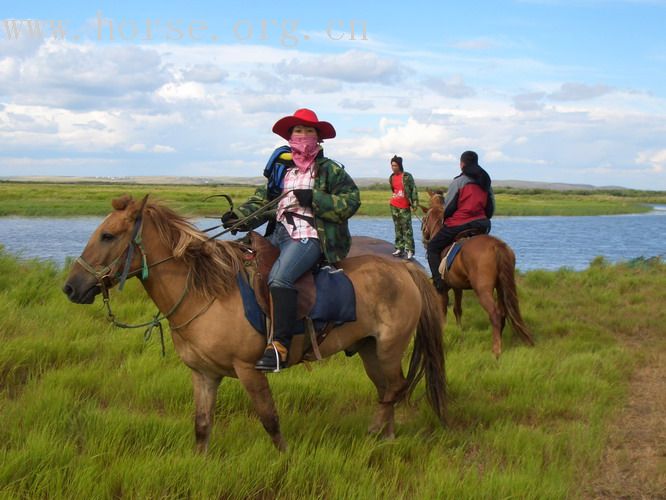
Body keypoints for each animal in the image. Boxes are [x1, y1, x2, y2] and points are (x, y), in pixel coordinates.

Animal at [63, 196, 446, 454]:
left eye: (108, 236)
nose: (71, 287)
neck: (206, 293)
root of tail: (404, 267)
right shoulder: (203, 374)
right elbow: (202, 426)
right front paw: (200, 462)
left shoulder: (249, 370)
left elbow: (270, 420)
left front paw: (286, 459)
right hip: (369, 349)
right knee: (386, 390)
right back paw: (386, 437)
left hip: (389, 347)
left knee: (394, 389)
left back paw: (375, 432)